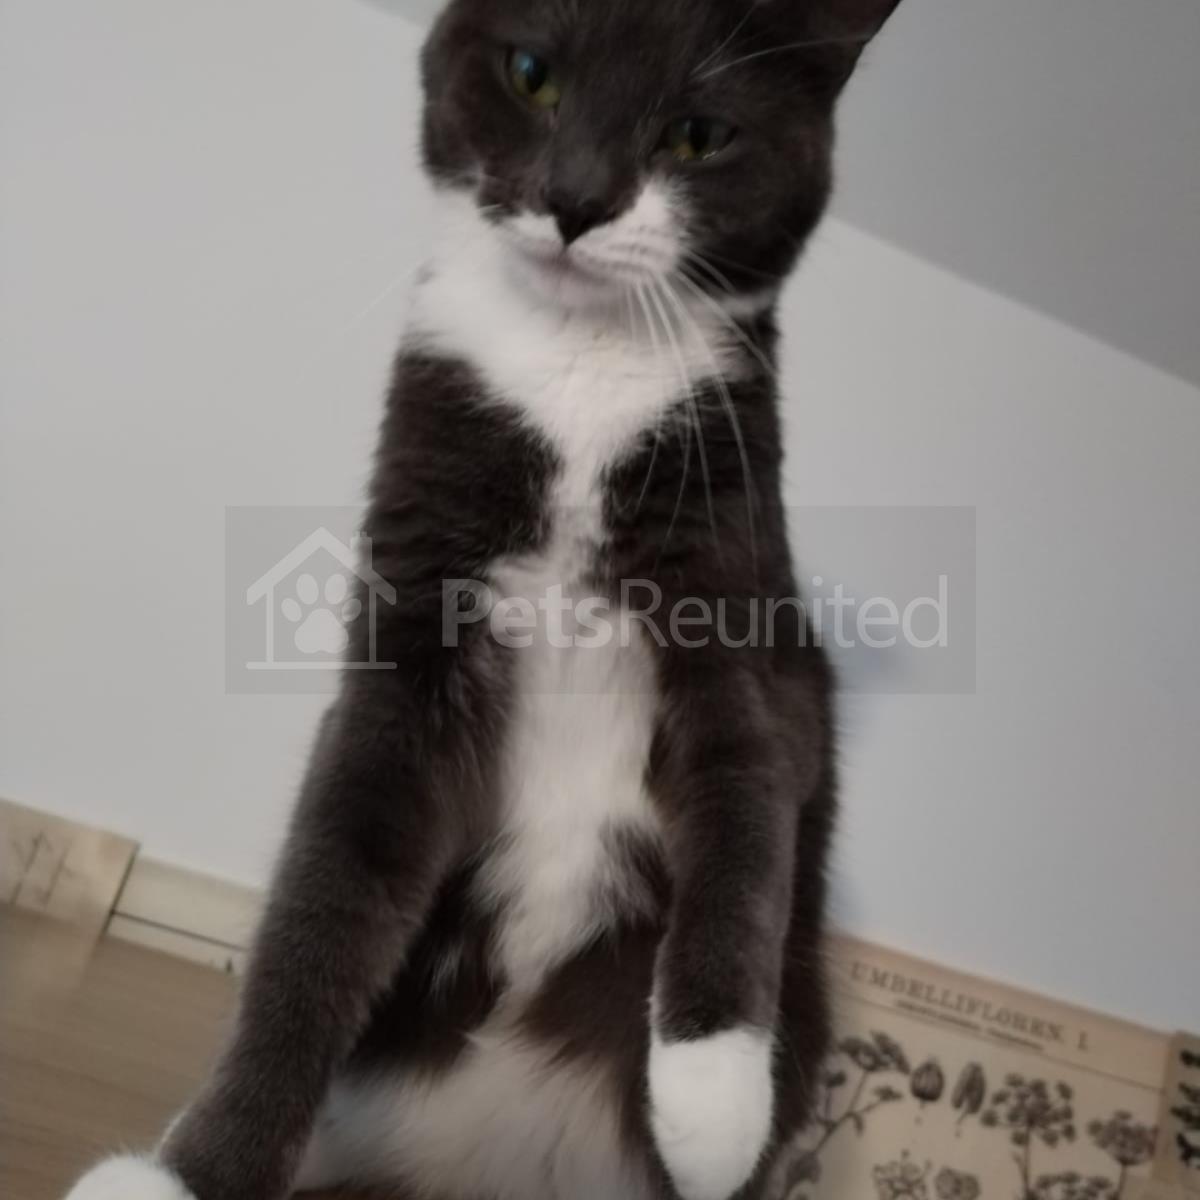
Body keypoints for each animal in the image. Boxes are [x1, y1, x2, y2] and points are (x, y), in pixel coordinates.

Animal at [64, 1, 902, 1198]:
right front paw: (191, 1171)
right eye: (533, 73)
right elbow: (323, 903)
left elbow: (747, 809)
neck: (577, 368)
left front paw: (710, 1104)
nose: (579, 198)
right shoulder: (410, 621)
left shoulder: (740, 607)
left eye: (698, 134)